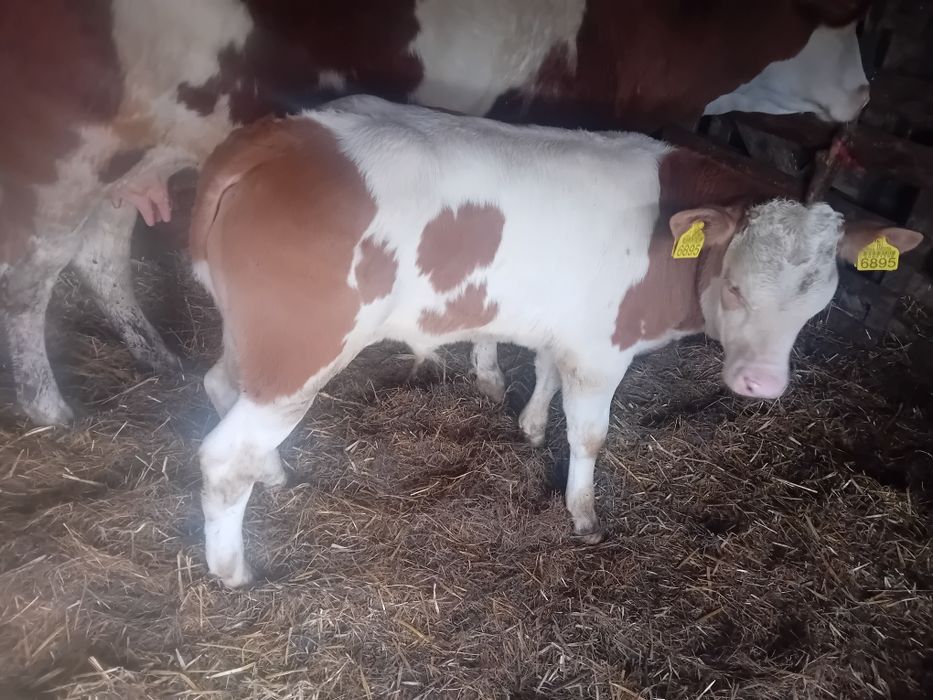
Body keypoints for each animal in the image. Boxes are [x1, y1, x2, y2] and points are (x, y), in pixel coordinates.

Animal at [0, 0, 871, 427]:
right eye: (841, 22)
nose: (865, 94)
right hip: (66, 150)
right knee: (31, 276)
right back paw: (48, 406)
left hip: (137, 156)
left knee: (102, 249)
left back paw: (151, 352)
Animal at [189, 96, 923, 586]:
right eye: (736, 287)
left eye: (818, 301)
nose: (760, 384)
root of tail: (276, 138)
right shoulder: (600, 351)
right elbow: (591, 436)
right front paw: (583, 514)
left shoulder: (563, 324)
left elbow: (541, 371)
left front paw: (531, 426)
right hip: (300, 350)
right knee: (222, 455)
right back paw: (233, 571)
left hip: (252, 336)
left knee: (219, 386)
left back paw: (273, 475)